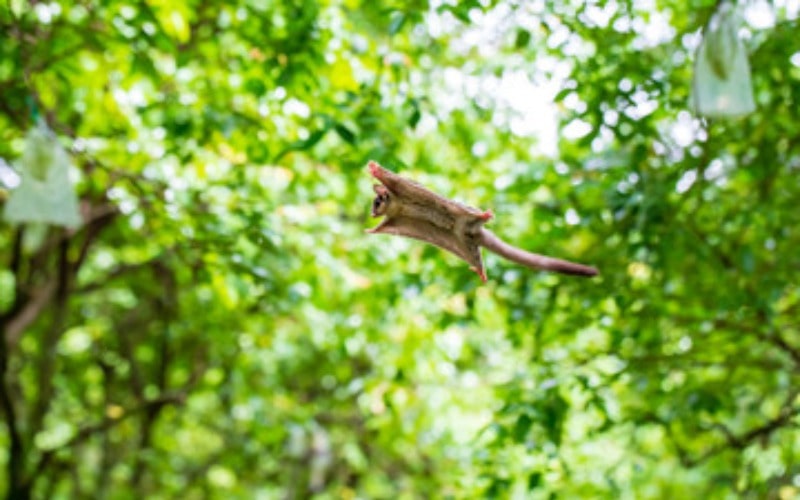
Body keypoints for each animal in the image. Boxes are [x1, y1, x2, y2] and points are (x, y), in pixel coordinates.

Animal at [366, 162, 596, 284]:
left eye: (377, 202)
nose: (372, 212)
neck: (397, 204)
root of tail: (475, 232)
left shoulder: (403, 190)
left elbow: (394, 179)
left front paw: (376, 170)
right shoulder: (395, 218)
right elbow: (384, 227)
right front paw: (371, 229)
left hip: (465, 214)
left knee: (472, 215)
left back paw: (484, 216)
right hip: (463, 244)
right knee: (475, 257)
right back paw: (480, 271)